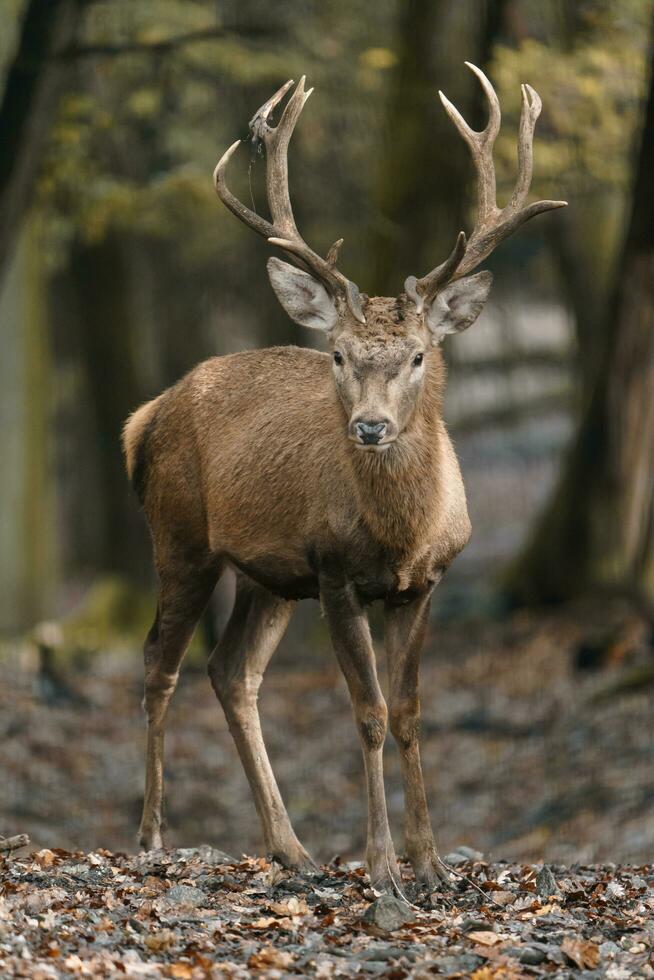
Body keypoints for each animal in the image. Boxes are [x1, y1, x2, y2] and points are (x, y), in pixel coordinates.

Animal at [124, 63, 568, 896]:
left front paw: (432, 863)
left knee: (230, 671)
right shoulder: (334, 573)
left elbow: (411, 711)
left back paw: (289, 848)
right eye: (337, 354)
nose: (368, 426)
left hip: (266, 576)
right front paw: (383, 864)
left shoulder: (425, 582)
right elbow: (366, 713)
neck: (400, 537)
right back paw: (152, 835)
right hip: (181, 538)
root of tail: (146, 415)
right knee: (159, 664)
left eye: (419, 355)